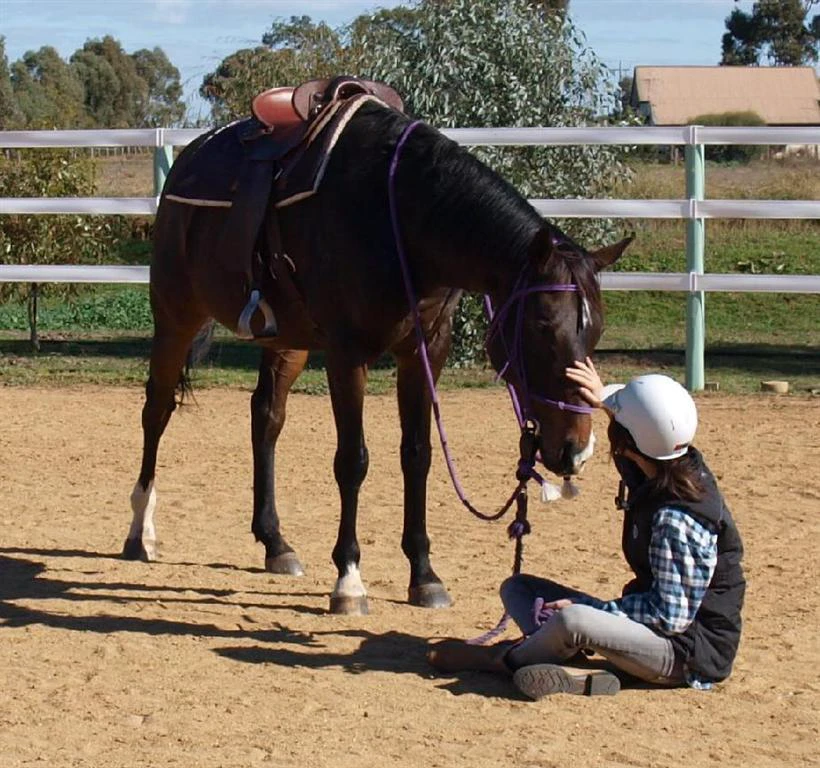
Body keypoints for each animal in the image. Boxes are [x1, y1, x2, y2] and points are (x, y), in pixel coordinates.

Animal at [124, 88, 631, 615]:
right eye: (541, 325)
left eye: (595, 331)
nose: (576, 450)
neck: (401, 220)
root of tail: (187, 161)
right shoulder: (347, 355)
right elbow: (353, 460)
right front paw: (349, 580)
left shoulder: (425, 352)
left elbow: (417, 455)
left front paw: (424, 575)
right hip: (176, 316)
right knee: (156, 410)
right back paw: (141, 531)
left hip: (287, 341)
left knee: (266, 417)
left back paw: (275, 543)